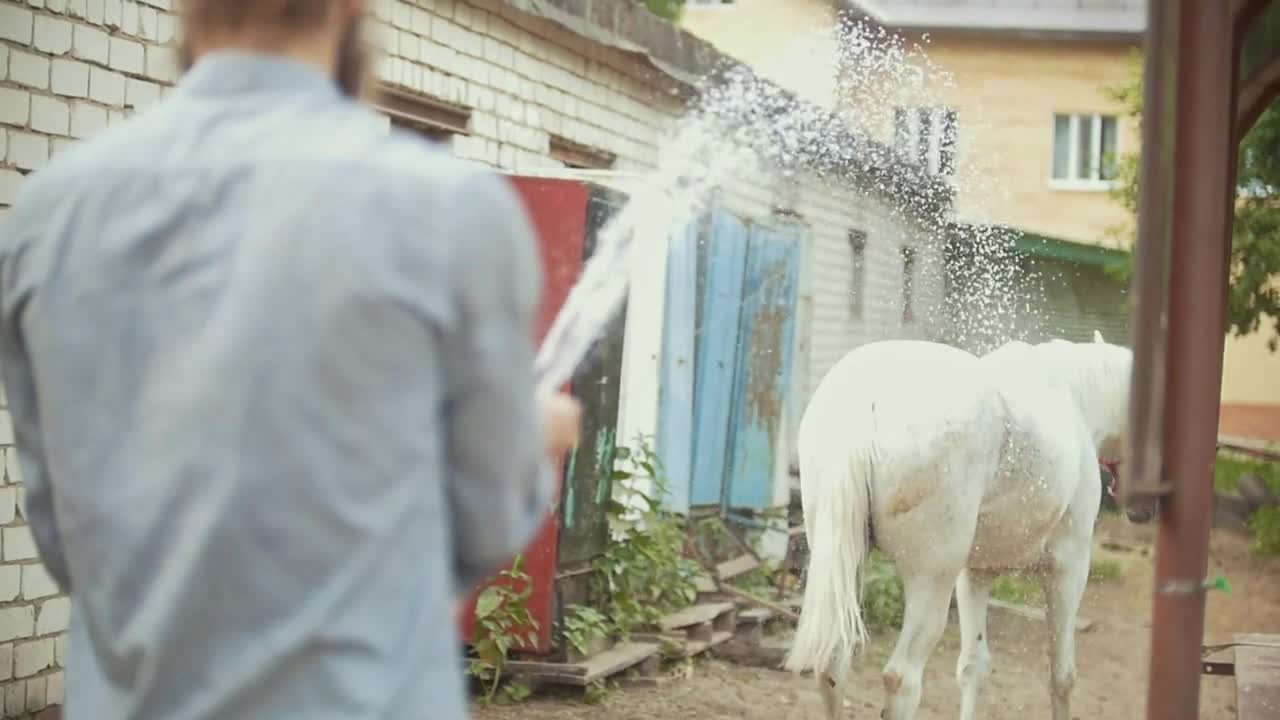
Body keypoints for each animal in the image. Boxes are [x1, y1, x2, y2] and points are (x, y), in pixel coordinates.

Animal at [783, 333, 1136, 717]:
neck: (1073, 396)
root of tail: (867, 401)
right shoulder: (1068, 568)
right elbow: (1061, 676)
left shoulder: (976, 573)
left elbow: (973, 667)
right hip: (930, 580)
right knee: (901, 679)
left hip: (847, 562)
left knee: (834, 663)